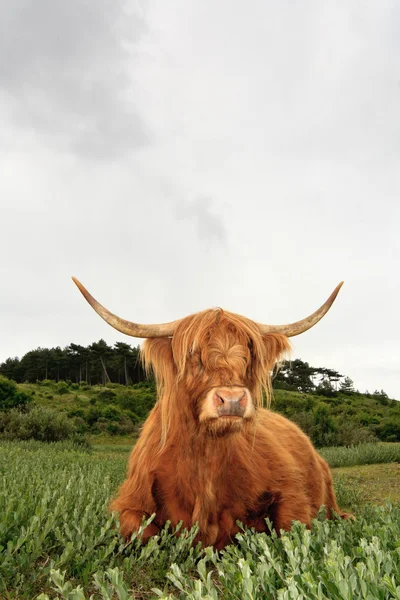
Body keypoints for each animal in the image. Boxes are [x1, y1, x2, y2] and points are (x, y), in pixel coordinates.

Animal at [73, 278, 348, 548]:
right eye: (193, 355)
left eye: (248, 355)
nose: (232, 400)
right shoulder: (132, 500)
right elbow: (138, 529)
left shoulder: (290, 491)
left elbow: (292, 527)